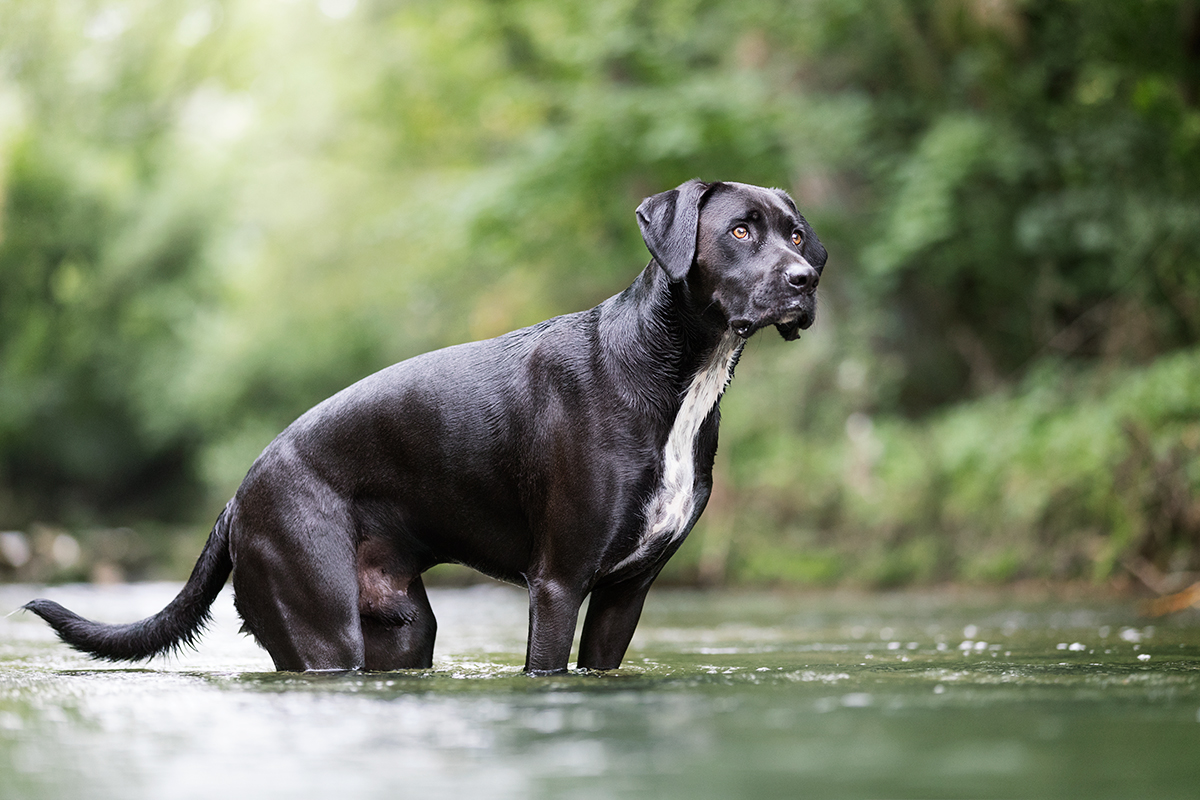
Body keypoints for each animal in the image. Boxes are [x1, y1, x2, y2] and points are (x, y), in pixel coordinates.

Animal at [25, 178, 825, 671]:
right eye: (741, 230)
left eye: (796, 236)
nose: (806, 280)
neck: (670, 374)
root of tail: (237, 495)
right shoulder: (558, 584)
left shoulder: (624, 595)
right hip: (322, 629)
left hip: (404, 631)